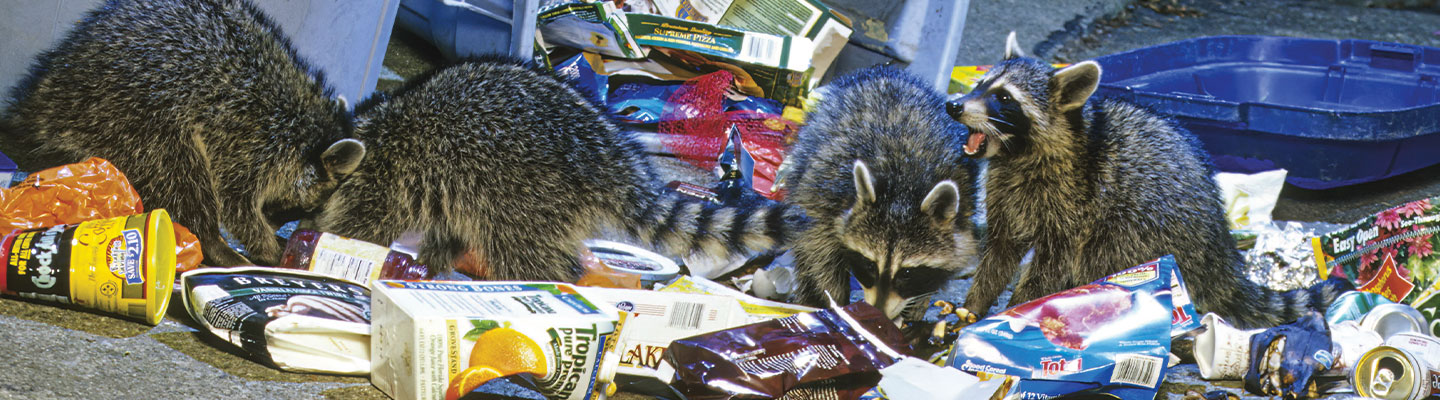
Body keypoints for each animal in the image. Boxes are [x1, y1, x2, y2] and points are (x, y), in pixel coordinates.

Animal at [0, 0, 362, 269]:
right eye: (300, 207)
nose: (276, 227)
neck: (306, 128)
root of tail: (40, 106)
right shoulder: (253, 139)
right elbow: (236, 201)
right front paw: (264, 242)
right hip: (133, 107)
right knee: (179, 170)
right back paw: (212, 241)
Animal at [316, 57, 812, 283]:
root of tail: (614, 158)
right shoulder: (436, 186)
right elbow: (444, 231)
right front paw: (429, 264)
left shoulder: (387, 182)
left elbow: (360, 227)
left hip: (526, 192)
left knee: (525, 251)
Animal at [783, 67, 984, 320]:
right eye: (869, 265)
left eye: (907, 273)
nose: (876, 312)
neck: (903, 188)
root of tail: (889, 72)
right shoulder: (827, 191)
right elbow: (817, 249)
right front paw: (835, 301)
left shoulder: (964, 193)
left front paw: (919, 301)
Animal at [944, 33, 1347, 328]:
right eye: (980, 84)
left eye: (1004, 98)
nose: (953, 104)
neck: (1016, 154)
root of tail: (1220, 257)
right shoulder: (1006, 191)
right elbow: (1000, 251)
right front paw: (975, 304)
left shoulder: (1071, 204)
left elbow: (1050, 266)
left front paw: (1015, 309)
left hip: (1144, 229)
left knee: (1105, 253)